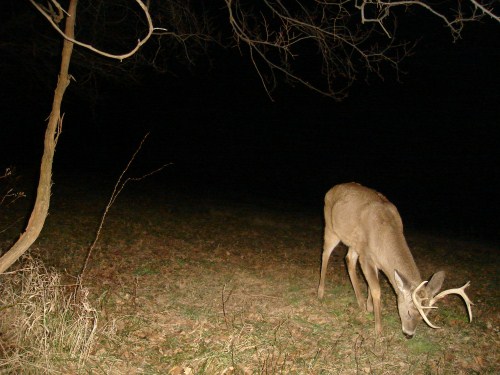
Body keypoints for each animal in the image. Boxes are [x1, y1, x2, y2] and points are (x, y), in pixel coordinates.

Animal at [316, 184, 472, 340]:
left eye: (425, 315)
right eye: (408, 312)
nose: (409, 334)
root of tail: (331, 189)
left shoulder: (373, 258)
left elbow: (370, 284)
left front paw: (369, 307)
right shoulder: (366, 256)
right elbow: (376, 290)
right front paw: (378, 328)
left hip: (353, 243)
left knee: (348, 259)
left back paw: (360, 302)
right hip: (330, 227)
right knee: (325, 254)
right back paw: (320, 293)